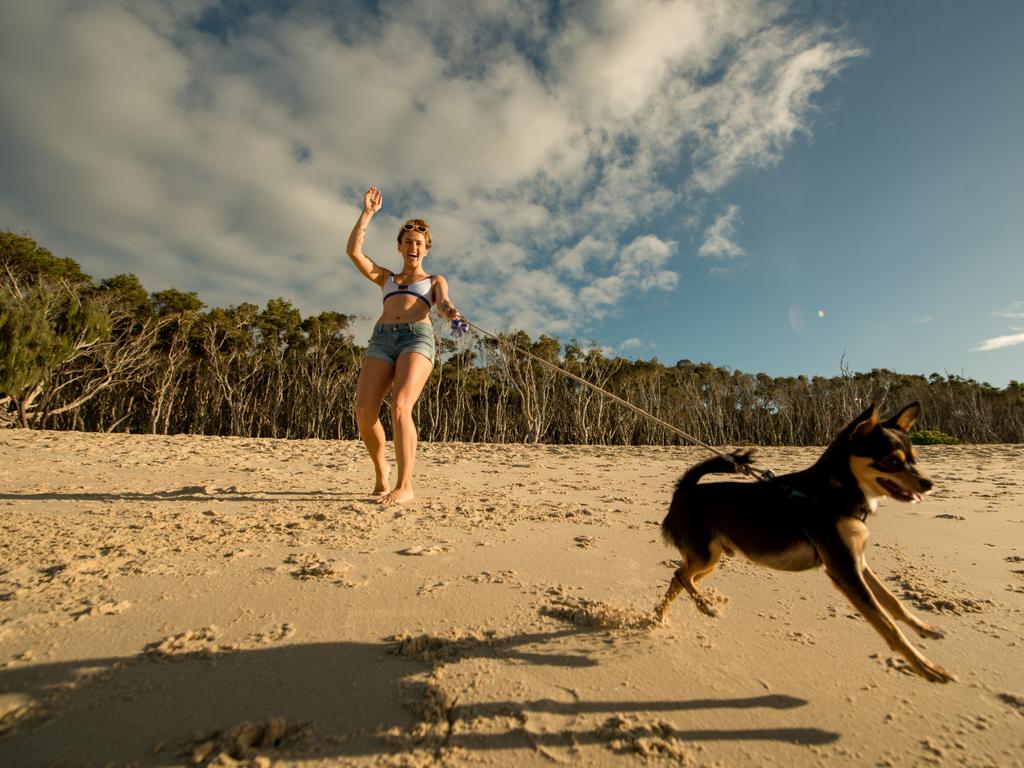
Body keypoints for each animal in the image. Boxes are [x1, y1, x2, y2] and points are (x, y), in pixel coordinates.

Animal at [655, 403, 950, 684]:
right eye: (891, 461)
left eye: (913, 460)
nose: (928, 483)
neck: (832, 494)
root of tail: (684, 490)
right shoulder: (844, 570)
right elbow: (886, 622)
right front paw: (926, 667)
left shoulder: (858, 564)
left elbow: (893, 603)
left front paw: (924, 629)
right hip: (706, 556)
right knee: (680, 576)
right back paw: (706, 606)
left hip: (710, 559)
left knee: (679, 577)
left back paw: (661, 615)